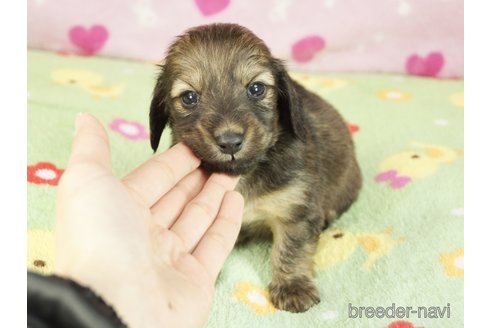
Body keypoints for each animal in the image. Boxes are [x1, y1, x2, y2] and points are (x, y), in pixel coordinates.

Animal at [149, 23, 362, 312]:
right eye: (189, 97)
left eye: (257, 89)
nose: (230, 142)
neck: (245, 176)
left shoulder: (296, 213)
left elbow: (290, 251)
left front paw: (292, 286)